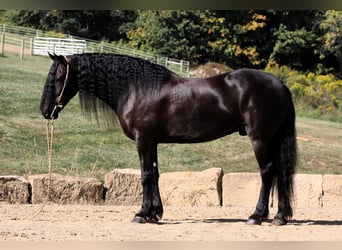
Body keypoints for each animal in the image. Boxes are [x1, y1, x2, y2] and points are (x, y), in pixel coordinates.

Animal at [40, 53, 296, 226]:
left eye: (59, 77)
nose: (45, 110)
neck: (136, 89)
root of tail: (282, 85)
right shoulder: (152, 142)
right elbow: (154, 175)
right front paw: (154, 214)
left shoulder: (143, 140)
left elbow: (145, 176)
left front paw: (141, 214)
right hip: (273, 140)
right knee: (280, 173)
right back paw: (279, 216)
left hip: (260, 139)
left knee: (267, 173)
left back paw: (256, 216)